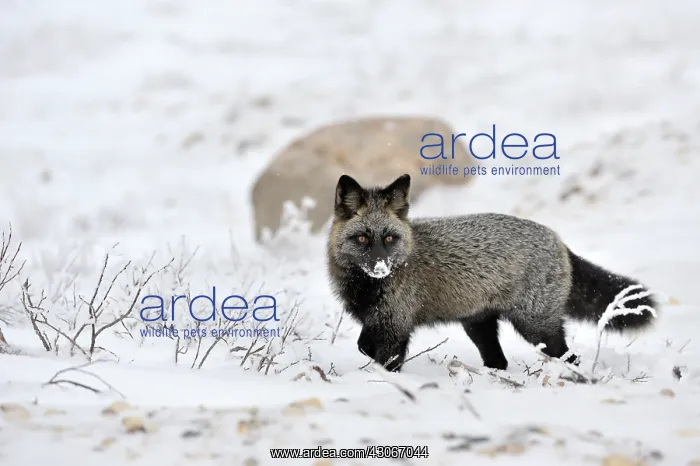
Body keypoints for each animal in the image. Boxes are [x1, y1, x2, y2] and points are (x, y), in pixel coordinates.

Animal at [325, 173, 660, 372]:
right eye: (363, 239)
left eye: (389, 239)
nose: (381, 268)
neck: (367, 288)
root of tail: (558, 239)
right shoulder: (377, 321)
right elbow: (363, 345)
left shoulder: (395, 326)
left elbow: (383, 358)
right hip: (479, 326)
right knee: (499, 361)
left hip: (536, 328)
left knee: (569, 356)